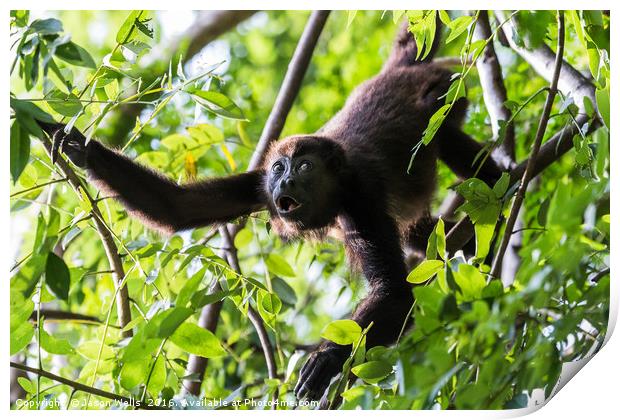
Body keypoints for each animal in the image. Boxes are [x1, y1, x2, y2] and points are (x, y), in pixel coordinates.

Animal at [37, 24, 504, 402]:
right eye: (279, 167)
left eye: (304, 167)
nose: (285, 183)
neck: (332, 195)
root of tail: (400, 70)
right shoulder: (257, 186)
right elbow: (177, 207)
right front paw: (75, 145)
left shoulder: (361, 196)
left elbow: (394, 292)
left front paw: (327, 359)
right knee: (417, 231)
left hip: (443, 93)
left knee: (445, 137)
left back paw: (499, 196)